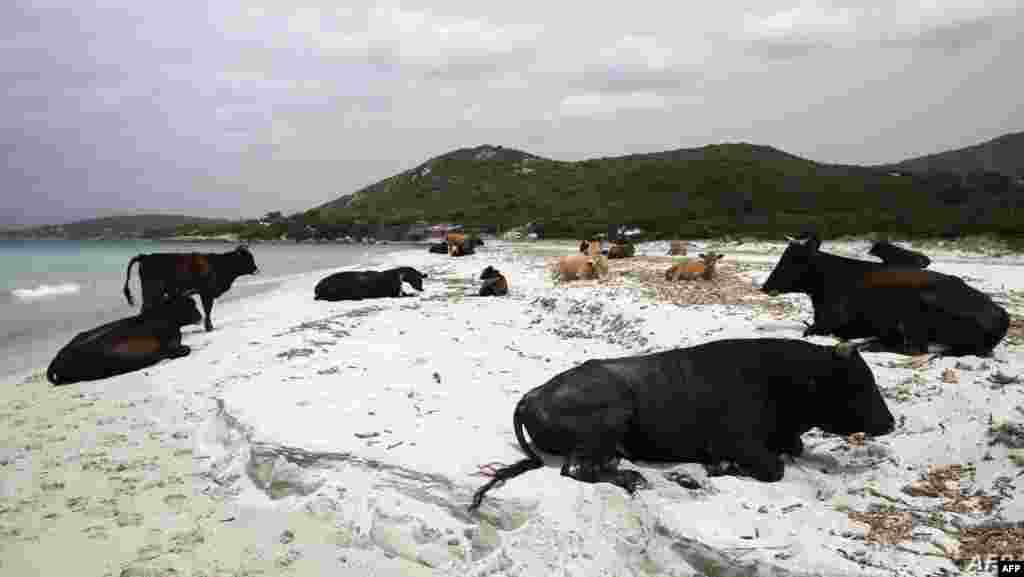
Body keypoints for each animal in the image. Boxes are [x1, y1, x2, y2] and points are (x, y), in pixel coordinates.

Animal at [46, 295, 202, 385]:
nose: (200, 315)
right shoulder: (173, 347)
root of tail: (57, 358)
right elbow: (185, 349)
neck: (165, 315)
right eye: (191, 305)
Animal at [122, 244, 258, 334]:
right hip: (153, 290)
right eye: (247, 258)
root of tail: (145, 256)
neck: (218, 264)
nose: (256, 269)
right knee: (146, 308)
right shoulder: (206, 293)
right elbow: (208, 310)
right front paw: (209, 327)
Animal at [468, 338, 892, 510]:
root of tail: (534, 392)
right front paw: (720, 468)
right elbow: (774, 468)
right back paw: (634, 478)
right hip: (608, 417)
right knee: (577, 469)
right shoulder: (742, 443)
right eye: (859, 383)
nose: (889, 423)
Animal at [761, 235, 1007, 356]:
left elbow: (808, 330)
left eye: (794, 260)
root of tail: (1000, 314)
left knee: (915, 348)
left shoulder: (830, 322)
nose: (765, 286)